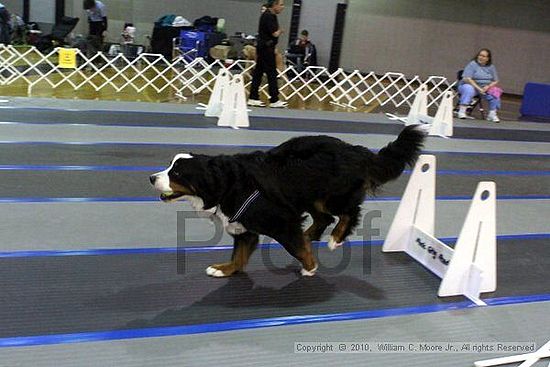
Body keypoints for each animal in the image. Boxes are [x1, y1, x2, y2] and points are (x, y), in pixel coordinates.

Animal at [151, 126, 426, 278]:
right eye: (169, 166)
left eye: (177, 173)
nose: (152, 177)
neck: (228, 184)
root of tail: (356, 150)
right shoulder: (244, 229)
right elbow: (239, 255)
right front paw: (224, 269)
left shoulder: (281, 221)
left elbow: (296, 248)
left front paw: (310, 267)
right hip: (311, 198)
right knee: (324, 218)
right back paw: (310, 235)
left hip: (332, 196)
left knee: (348, 213)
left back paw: (335, 238)